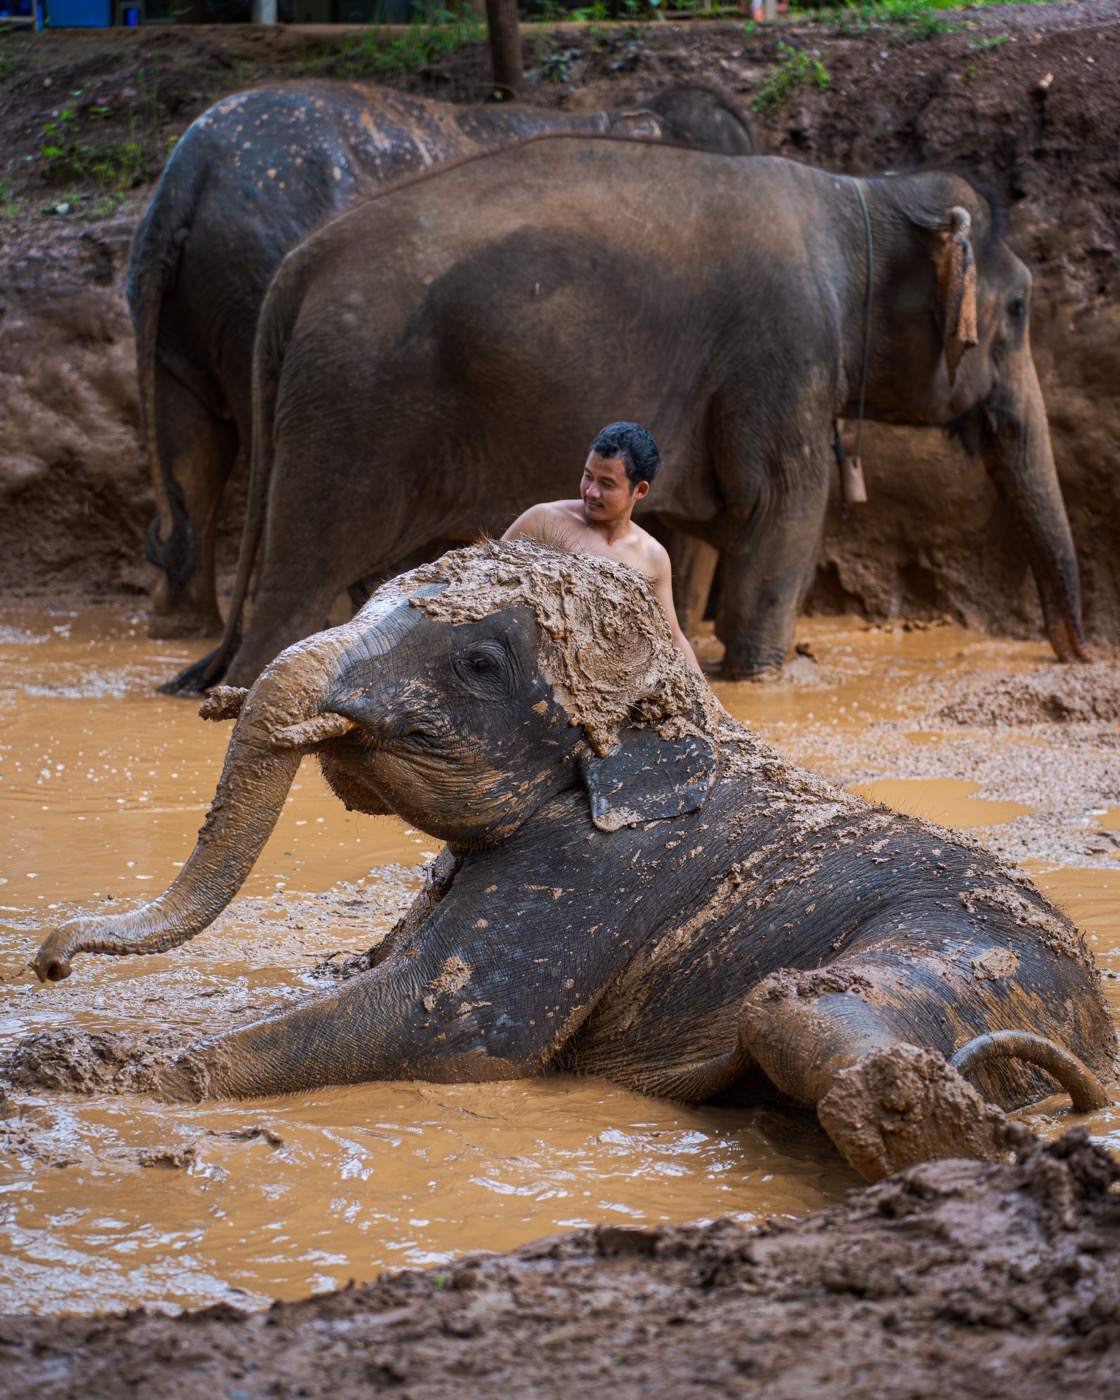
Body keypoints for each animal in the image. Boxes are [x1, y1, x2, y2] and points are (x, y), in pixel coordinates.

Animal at [21, 541, 1114, 1183]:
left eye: (477, 662)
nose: (49, 961)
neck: (677, 707)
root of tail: (1096, 1030)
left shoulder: (596, 873)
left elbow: (450, 1029)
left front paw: (78, 1075)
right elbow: (366, 977)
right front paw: (58, 1054)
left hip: (979, 961)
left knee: (795, 1008)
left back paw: (940, 1138)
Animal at [166, 139, 1095, 692]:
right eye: (1018, 310)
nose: (1082, 656)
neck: (863, 194)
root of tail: (298, 265)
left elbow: (694, 536)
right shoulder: (785, 348)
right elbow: (784, 510)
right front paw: (763, 674)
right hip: (351, 409)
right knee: (302, 578)